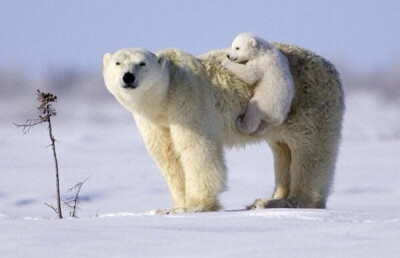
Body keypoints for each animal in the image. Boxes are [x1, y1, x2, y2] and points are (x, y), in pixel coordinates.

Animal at [102, 43, 344, 214]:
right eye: (117, 63)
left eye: (142, 63)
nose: (128, 77)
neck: (165, 97)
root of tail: (332, 68)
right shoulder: (154, 122)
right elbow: (168, 156)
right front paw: (173, 206)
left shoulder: (188, 102)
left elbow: (196, 150)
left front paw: (195, 206)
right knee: (283, 149)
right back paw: (269, 199)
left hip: (308, 102)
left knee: (309, 151)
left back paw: (294, 201)